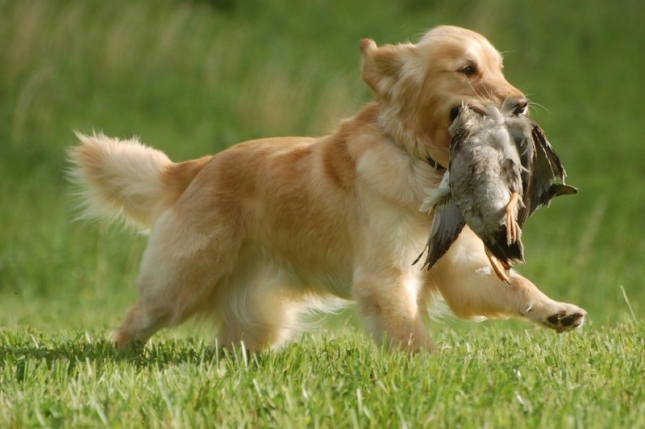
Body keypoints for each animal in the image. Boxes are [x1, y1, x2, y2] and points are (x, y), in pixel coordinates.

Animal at [69, 25, 584, 350]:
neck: (421, 161)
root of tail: (195, 168)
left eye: (498, 68)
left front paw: (555, 310)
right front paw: (433, 373)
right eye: (467, 70)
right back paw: (120, 353)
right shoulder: (384, 279)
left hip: (259, 318)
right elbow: (412, 338)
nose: (520, 104)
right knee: (134, 320)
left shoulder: (460, 270)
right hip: (178, 285)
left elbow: (517, 286)